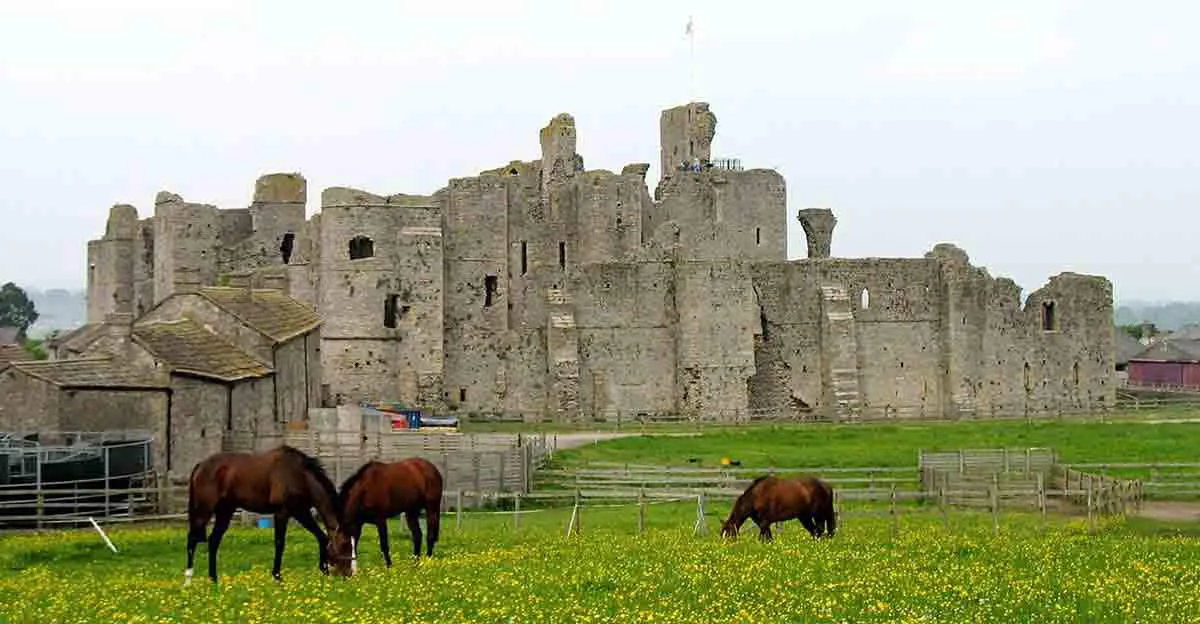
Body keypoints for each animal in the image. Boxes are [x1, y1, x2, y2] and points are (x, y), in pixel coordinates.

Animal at [182, 444, 350, 585]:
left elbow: (322, 537)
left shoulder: (301, 512)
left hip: (225, 511)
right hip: (204, 510)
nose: (347, 575)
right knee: (192, 540)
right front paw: (277, 576)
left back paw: (214, 580)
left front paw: (324, 570)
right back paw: (188, 581)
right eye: (344, 545)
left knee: (213, 541)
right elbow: (280, 543)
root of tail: (201, 465)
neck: (300, 475)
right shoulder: (282, 513)